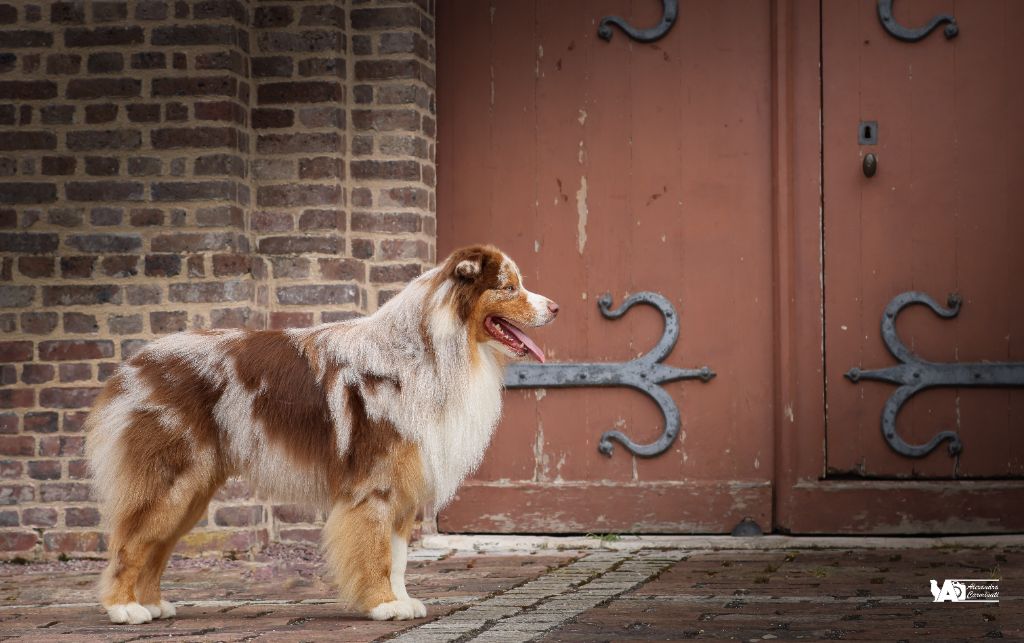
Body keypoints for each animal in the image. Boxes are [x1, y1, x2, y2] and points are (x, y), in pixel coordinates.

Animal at [84, 244, 561, 622]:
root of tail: (133, 365)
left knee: (155, 546)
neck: (432, 351)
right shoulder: (375, 484)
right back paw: (124, 609)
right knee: (129, 542)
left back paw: (153, 604)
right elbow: (376, 552)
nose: (556, 308)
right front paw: (383, 605)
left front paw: (402, 601)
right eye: (509, 287)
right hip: (171, 481)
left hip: (192, 490)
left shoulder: (403, 486)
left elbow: (399, 558)